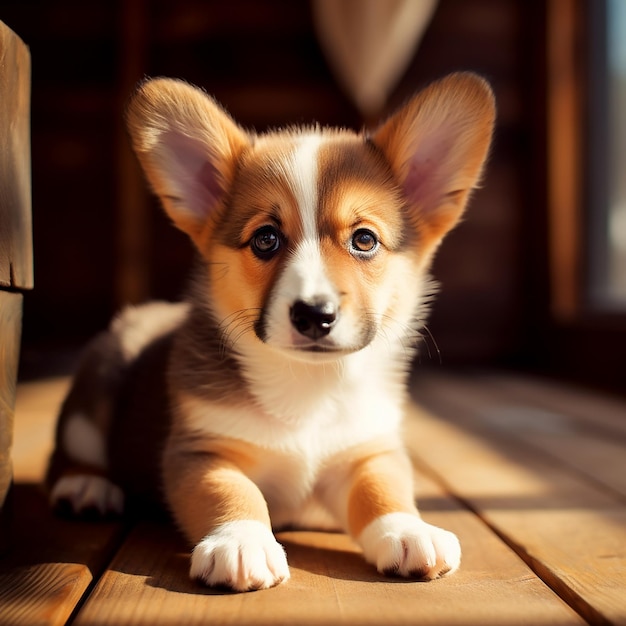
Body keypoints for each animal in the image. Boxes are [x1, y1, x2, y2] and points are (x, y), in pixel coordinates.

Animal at [46, 73, 492, 588]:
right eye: (266, 238)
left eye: (364, 240)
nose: (314, 315)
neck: (310, 388)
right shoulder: (201, 452)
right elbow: (231, 492)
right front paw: (241, 542)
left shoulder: (370, 449)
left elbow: (383, 489)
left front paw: (408, 530)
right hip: (91, 401)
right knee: (65, 454)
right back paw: (85, 485)